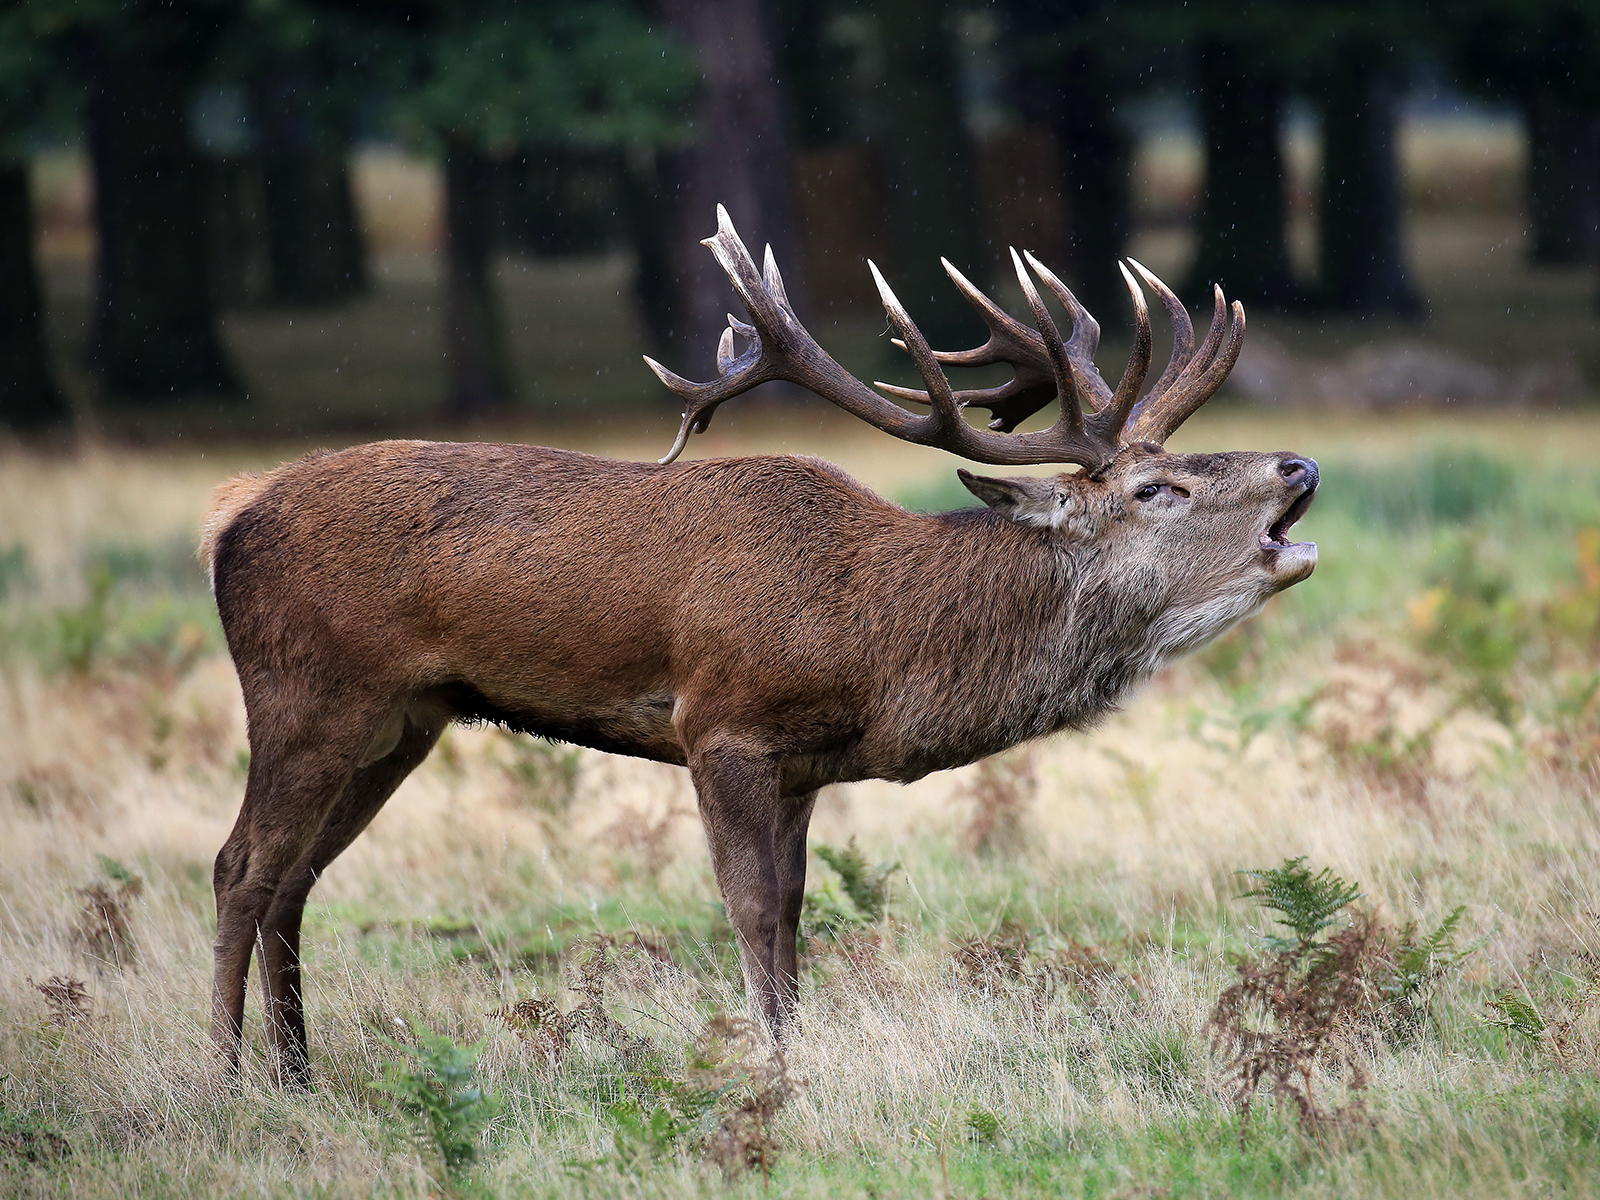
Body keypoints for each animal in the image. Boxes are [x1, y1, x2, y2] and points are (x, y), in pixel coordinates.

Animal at [201, 206, 1317, 1083]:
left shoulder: (805, 765)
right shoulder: (722, 724)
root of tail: (228, 514)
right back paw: (228, 1079)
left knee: (295, 879)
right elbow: (743, 906)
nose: (1299, 466)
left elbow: (789, 910)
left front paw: (796, 1051)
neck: (874, 641)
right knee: (241, 865)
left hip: (403, 721)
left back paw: (298, 1071)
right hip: (306, 690)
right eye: (1157, 488)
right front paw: (771, 1068)